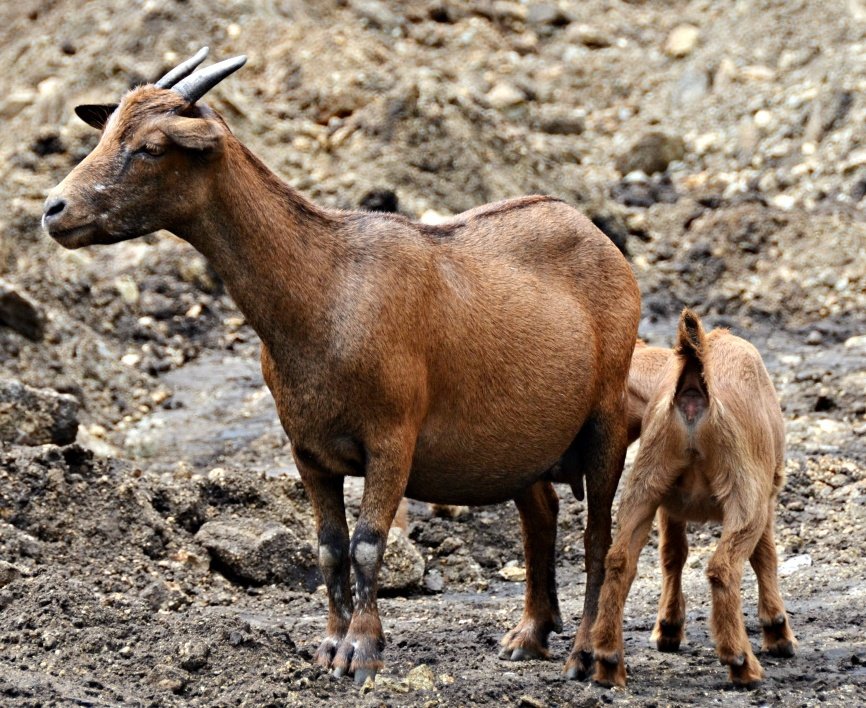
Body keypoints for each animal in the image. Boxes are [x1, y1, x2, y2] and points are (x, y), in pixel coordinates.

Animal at [42, 49, 641, 684]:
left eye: (153, 146)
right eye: (106, 131)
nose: (55, 210)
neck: (325, 289)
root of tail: (600, 239)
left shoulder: (393, 438)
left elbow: (368, 543)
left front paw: (362, 651)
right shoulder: (307, 449)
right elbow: (329, 546)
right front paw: (329, 645)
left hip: (605, 416)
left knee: (600, 538)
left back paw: (588, 654)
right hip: (522, 442)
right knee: (541, 514)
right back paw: (529, 634)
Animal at [591, 309, 796, 688]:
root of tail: (691, 385)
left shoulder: (667, 503)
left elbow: (672, 555)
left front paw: (668, 628)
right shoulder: (765, 492)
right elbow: (765, 556)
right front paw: (777, 631)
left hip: (645, 481)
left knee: (619, 560)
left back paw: (608, 660)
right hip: (744, 490)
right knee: (723, 567)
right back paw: (741, 662)